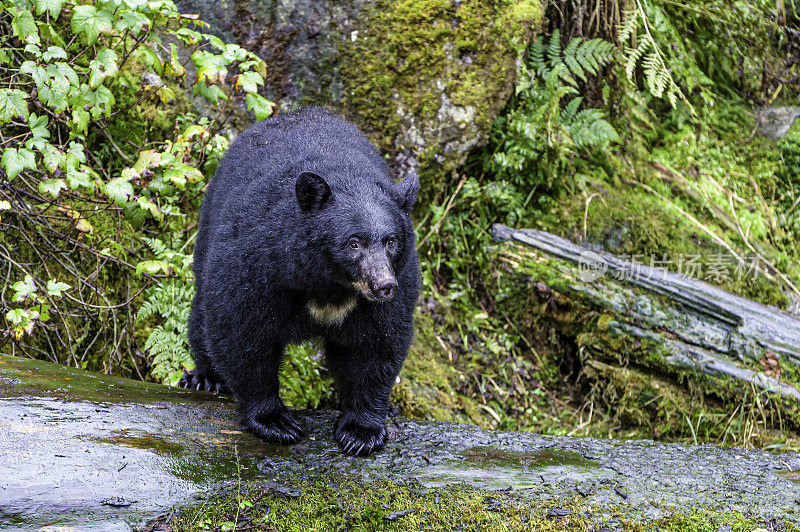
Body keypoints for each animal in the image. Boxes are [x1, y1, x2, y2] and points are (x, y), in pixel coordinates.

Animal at [180, 106, 418, 456]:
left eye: (391, 241)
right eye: (353, 243)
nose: (383, 285)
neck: (329, 283)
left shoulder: (398, 280)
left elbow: (377, 344)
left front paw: (361, 430)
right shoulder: (258, 263)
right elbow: (241, 330)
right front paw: (274, 420)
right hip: (208, 228)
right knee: (202, 314)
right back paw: (205, 378)